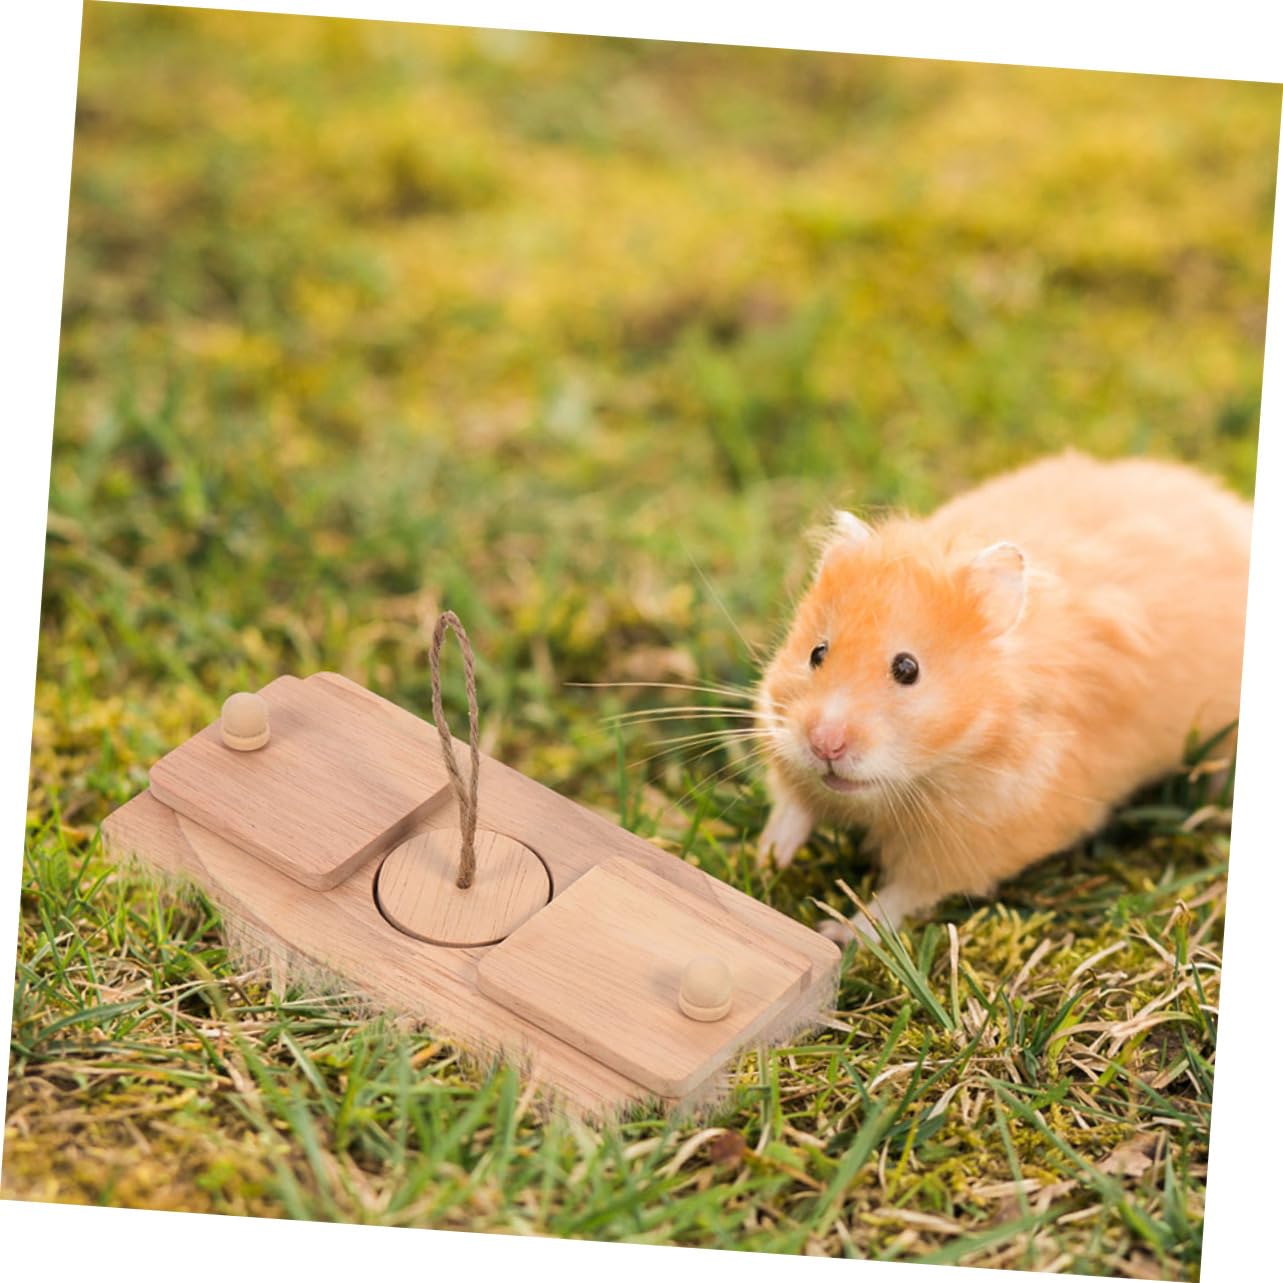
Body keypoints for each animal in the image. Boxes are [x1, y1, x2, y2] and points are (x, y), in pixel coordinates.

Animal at [756, 450, 1252, 943]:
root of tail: (1234, 512)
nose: (825, 744)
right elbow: (793, 804)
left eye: (907, 669)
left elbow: (901, 896)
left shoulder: (977, 839)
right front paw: (767, 860)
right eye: (817, 653)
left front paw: (838, 931)